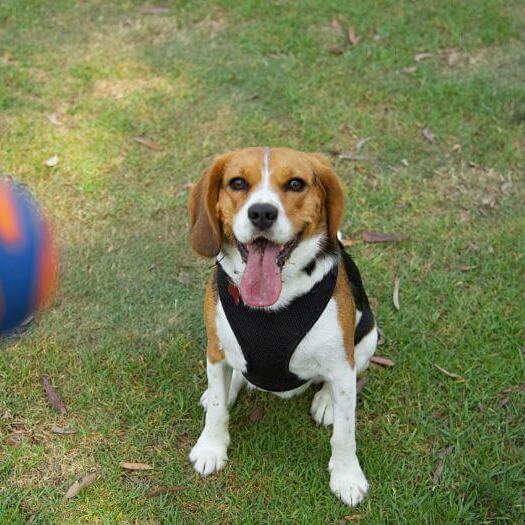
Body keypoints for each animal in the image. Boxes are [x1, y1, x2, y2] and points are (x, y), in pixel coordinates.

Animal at [187, 146, 376, 504]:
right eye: (237, 183)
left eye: (295, 184)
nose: (262, 213)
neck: (274, 304)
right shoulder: (215, 351)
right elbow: (217, 408)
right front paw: (211, 447)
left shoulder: (342, 362)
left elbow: (346, 432)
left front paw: (347, 476)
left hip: (369, 338)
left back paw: (326, 401)